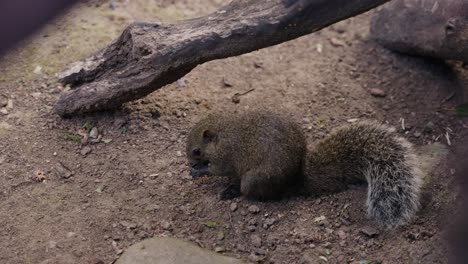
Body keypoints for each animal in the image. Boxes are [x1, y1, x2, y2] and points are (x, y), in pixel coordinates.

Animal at [186, 109, 424, 227]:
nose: (190, 163)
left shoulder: (225, 157)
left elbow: (216, 169)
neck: (223, 131)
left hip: (253, 180)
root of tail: (297, 180)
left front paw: (198, 171)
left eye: (196, 151)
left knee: (261, 194)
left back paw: (234, 192)